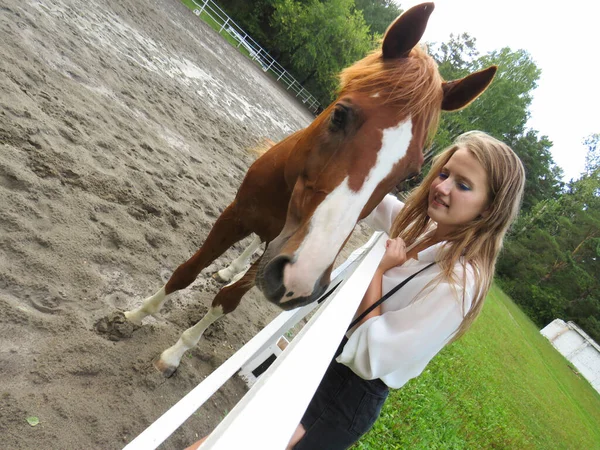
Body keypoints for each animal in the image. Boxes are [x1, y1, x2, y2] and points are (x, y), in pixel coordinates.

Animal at [122, 3, 496, 376]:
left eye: (412, 173)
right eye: (340, 115)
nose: (301, 278)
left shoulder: (275, 257)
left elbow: (226, 301)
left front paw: (174, 353)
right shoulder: (236, 216)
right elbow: (186, 271)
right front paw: (133, 315)